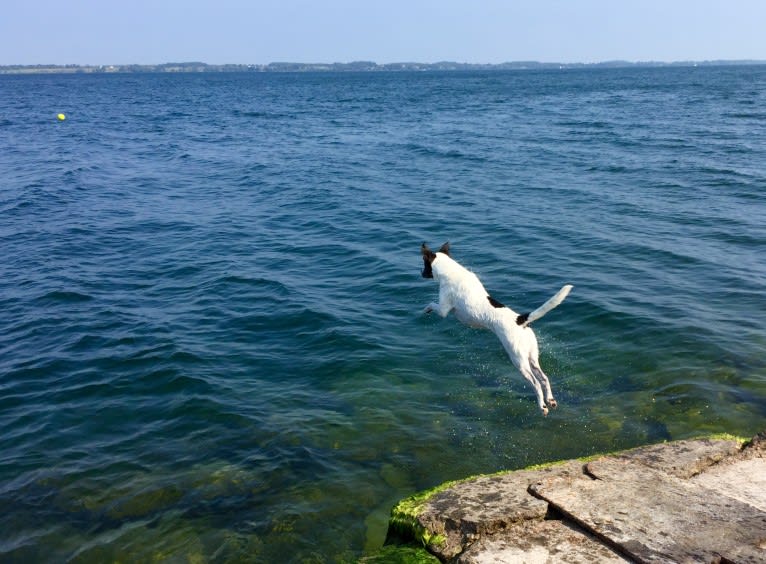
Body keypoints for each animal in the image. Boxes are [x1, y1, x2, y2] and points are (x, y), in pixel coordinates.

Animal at [424, 242, 572, 414]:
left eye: (424, 264)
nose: (421, 273)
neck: (451, 271)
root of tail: (520, 320)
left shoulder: (443, 310)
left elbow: (432, 304)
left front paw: (426, 309)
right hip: (532, 357)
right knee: (545, 378)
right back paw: (551, 400)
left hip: (519, 361)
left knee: (536, 383)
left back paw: (542, 406)